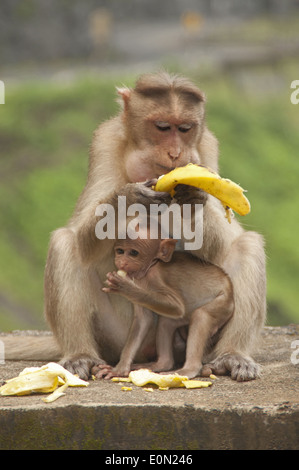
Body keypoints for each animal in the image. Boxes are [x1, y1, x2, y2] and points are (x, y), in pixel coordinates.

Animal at [94, 232, 234, 382]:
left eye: (133, 253)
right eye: (120, 251)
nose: (121, 262)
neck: (149, 268)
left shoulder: (155, 278)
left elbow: (177, 307)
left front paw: (125, 288)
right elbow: (143, 320)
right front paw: (120, 369)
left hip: (223, 303)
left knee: (201, 315)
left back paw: (188, 370)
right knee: (166, 322)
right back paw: (161, 364)